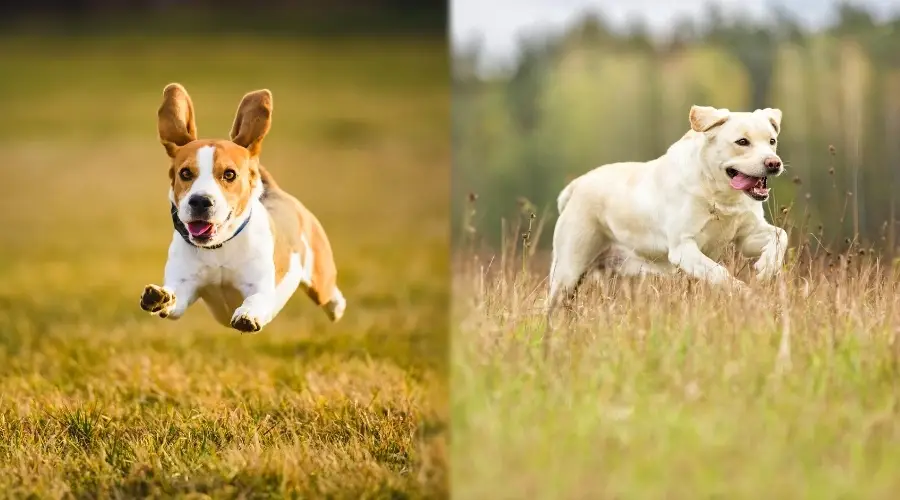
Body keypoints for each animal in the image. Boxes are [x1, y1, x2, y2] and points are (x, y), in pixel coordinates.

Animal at [139, 82, 346, 332]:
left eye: (229, 174)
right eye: (185, 173)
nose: (200, 201)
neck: (219, 248)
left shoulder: (261, 289)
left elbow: (256, 299)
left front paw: (248, 315)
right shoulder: (184, 284)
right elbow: (174, 299)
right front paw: (158, 297)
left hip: (320, 277)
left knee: (329, 294)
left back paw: (337, 307)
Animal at [544, 104, 784, 320]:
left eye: (772, 141)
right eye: (742, 142)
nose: (774, 163)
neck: (720, 195)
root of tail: (577, 185)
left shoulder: (747, 236)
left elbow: (780, 236)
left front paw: (767, 267)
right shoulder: (683, 247)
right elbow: (721, 272)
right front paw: (746, 295)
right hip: (567, 272)